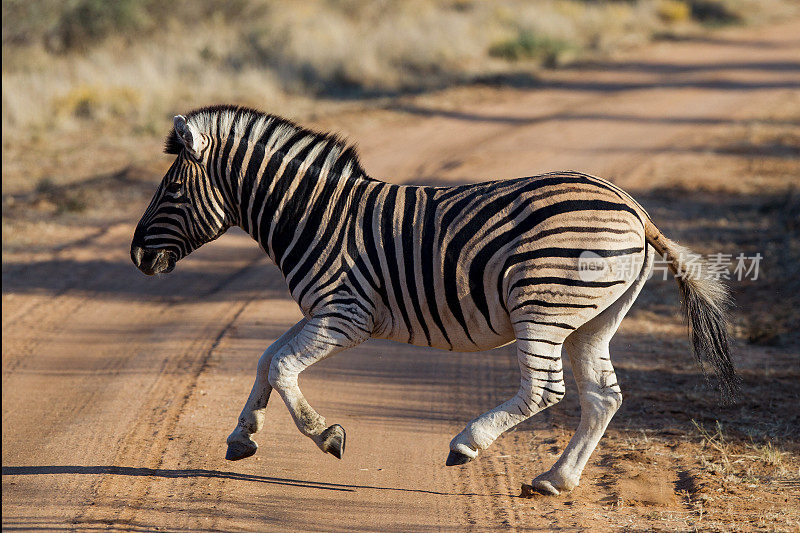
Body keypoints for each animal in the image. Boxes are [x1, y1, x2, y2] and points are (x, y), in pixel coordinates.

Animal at [131, 105, 736, 494]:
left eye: (173, 190)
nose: (137, 256)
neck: (315, 217)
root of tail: (632, 206)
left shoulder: (346, 313)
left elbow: (281, 365)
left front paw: (327, 435)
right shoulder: (324, 312)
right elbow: (265, 359)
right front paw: (242, 437)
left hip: (542, 305)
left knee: (547, 389)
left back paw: (468, 443)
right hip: (593, 319)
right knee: (602, 396)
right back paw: (555, 480)